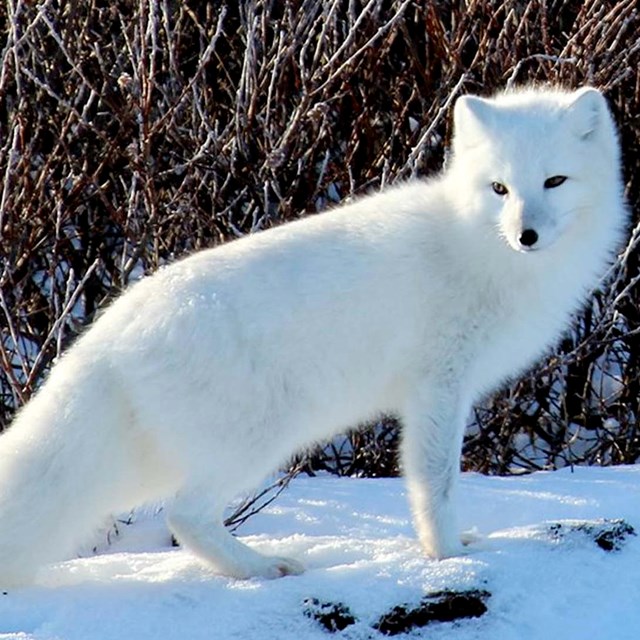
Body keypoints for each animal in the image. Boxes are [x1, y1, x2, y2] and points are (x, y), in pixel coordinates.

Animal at [0, 87, 628, 588]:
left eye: (554, 181)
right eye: (499, 188)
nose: (526, 235)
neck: (480, 248)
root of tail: (110, 328)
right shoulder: (438, 388)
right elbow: (436, 482)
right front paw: (447, 554)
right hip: (259, 438)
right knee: (185, 516)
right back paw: (261, 568)